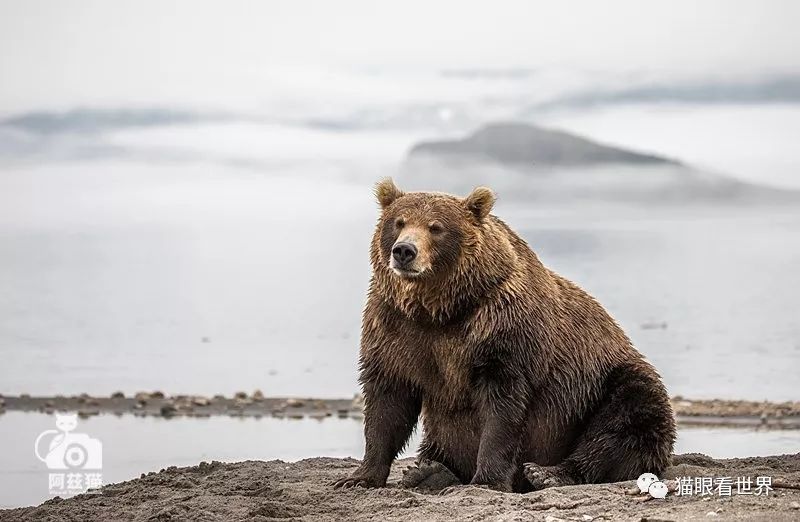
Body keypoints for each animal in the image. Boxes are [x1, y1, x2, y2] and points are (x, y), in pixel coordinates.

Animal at [332, 179, 676, 492]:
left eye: (435, 227)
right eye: (399, 222)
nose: (404, 251)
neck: (440, 310)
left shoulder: (501, 329)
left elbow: (502, 406)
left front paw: (486, 479)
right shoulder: (395, 326)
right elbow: (388, 399)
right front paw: (359, 477)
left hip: (602, 383)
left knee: (628, 419)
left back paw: (549, 473)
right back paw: (430, 471)